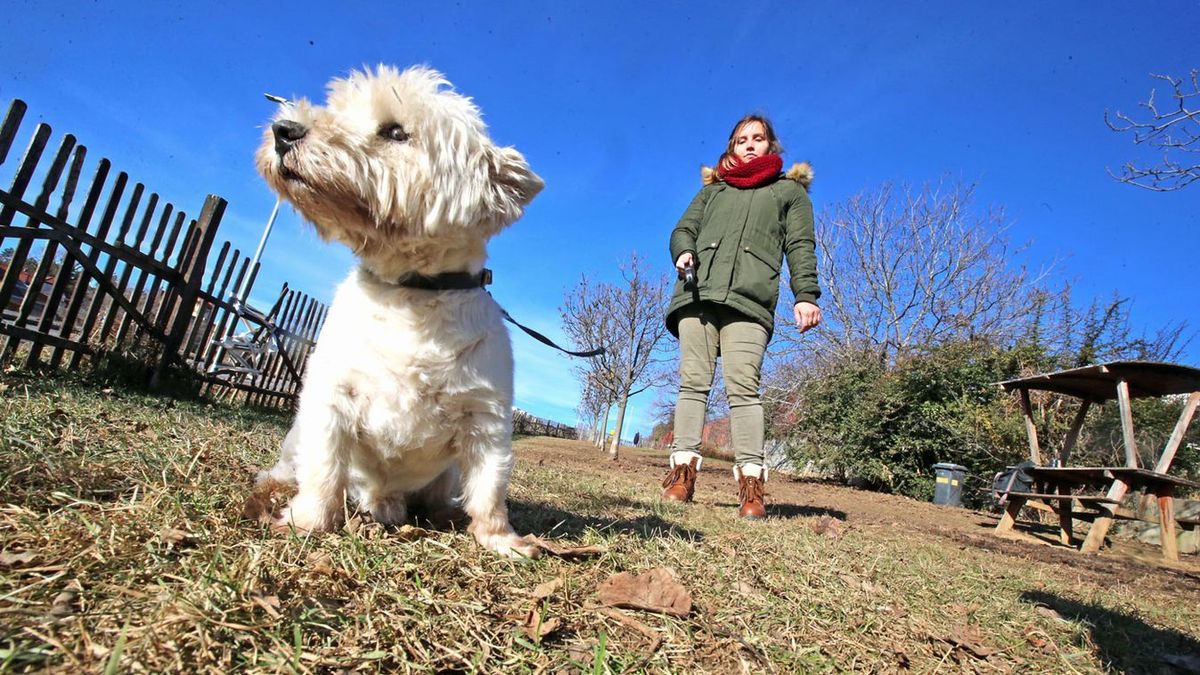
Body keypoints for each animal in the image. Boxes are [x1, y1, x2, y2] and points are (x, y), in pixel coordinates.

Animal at [260, 64, 547, 557]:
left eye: (395, 131)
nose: (284, 130)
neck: (412, 294)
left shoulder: (486, 417)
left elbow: (490, 486)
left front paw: (501, 539)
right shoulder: (331, 396)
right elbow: (323, 467)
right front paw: (308, 520)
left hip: (445, 472)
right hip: (297, 435)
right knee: (294, 464)